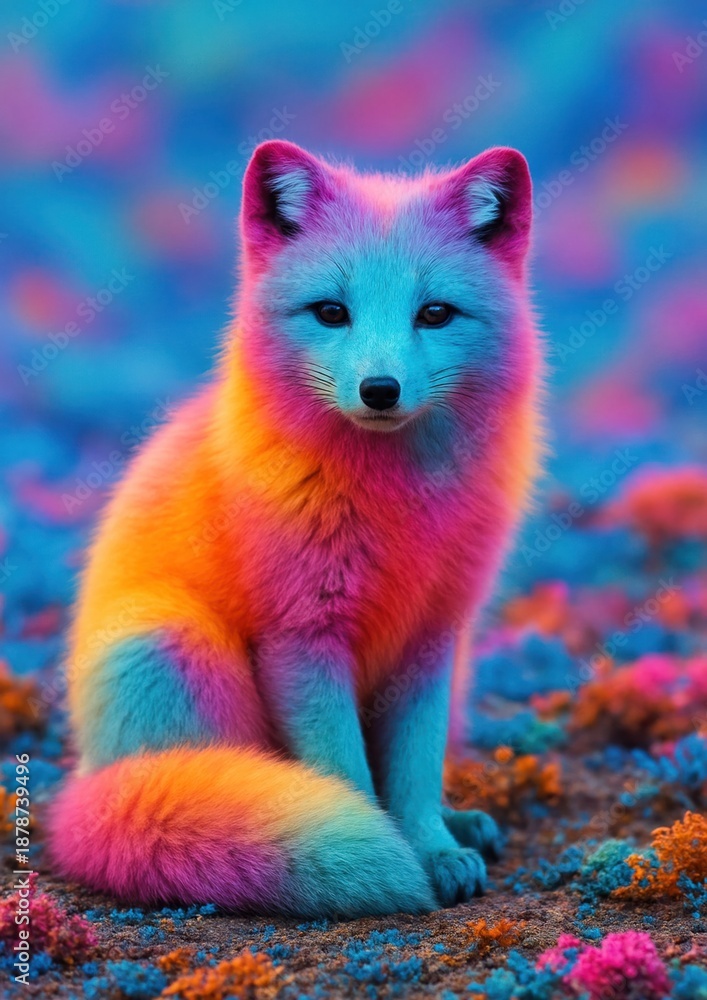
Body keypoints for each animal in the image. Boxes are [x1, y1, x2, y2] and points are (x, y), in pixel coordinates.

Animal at [49, 139, 542, 918]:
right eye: (330, 312)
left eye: (435, 313)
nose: (379, 390)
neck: (396, 505)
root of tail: (82, 785)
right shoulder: (301, 642)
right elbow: (347, 777)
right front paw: (390, 850)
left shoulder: (432, 641)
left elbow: (412, 772)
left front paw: (431, 847)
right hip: (179, 651)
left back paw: (461, 825)